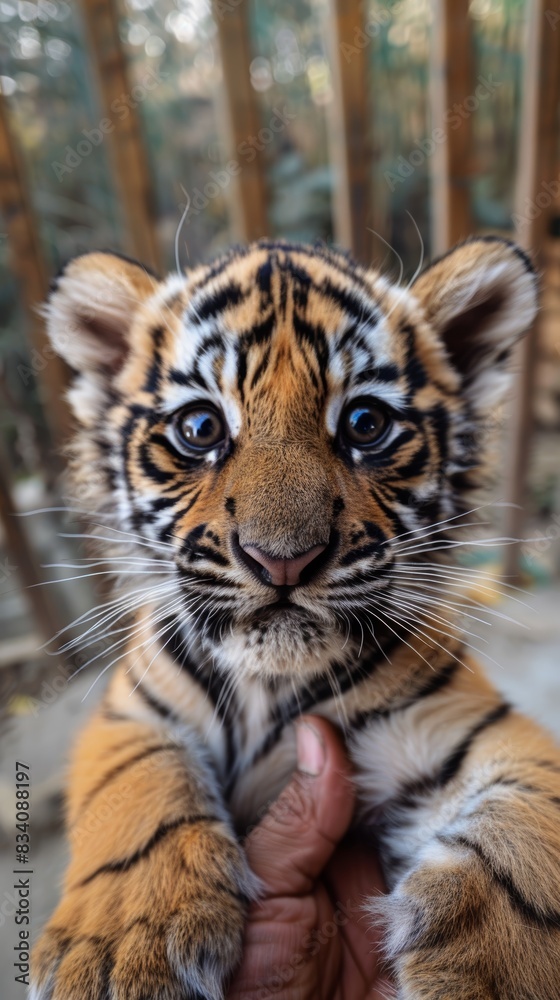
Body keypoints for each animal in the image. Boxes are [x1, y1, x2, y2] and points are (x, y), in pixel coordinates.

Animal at [31, 235, 560, 999]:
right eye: (201, 428)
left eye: (366, 424)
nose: (282, 560)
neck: (270, 683)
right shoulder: (131, 711)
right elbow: (134, 788)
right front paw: (118, 949)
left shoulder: (467, 721)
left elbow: (529, 816)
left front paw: (496, 961)